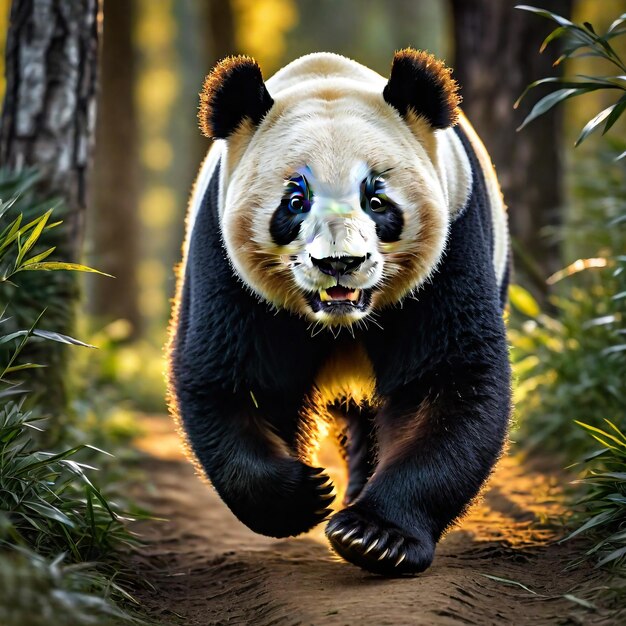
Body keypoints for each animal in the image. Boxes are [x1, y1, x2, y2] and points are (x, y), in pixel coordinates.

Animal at [168, 50, 510, 576]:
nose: (340, 263)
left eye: (377, 201)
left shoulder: (454, 243)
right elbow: (234, 378)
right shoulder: (223, 258)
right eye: (295, 202)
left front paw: (375, 536)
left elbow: (447, 379)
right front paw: (303, 494)